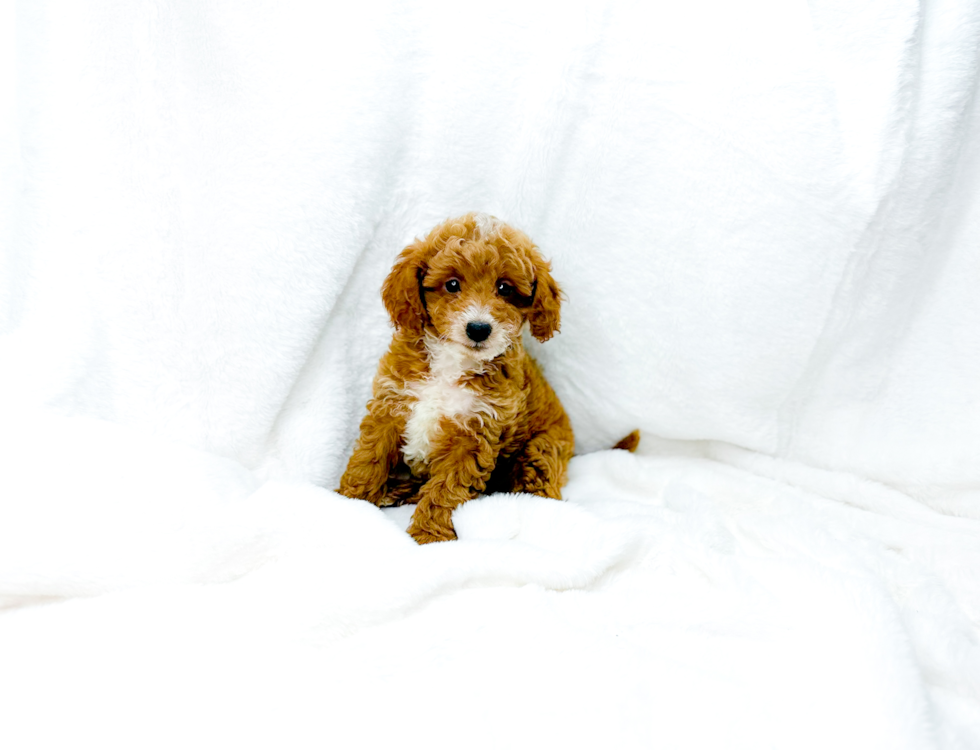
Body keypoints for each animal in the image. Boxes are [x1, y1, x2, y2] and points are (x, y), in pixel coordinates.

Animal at [340, 212, 580, 548]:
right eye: (452, 284)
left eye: (504, 288)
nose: (479, 328)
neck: (451, 361)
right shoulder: (391, 404)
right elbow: (368, 459)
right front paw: (349, 504)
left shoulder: (474, 432)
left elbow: (447, 488)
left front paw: (427, 535)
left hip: (542, 448)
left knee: (542, 490)